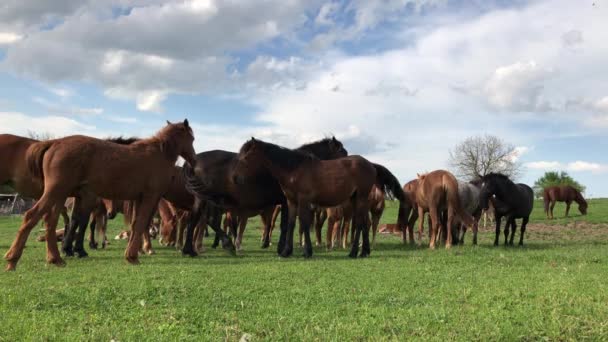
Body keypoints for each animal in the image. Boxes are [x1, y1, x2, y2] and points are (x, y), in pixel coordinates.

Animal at [4, 119, 195, 270]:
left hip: (59, 194)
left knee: (50, 222)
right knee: (31, 216)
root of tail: (54, 143)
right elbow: (141, 224)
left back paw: (56, 259)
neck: (157, 154)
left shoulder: (138, 199)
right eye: (192, 138)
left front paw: (131, 254)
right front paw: (133, 256)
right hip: (55, 192)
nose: (193, 159)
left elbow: (135, 225)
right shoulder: (149, 197)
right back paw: (12, 260)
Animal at [182, 136, 346, 256]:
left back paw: (191, 250)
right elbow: (285, 224)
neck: (293, 166)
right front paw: (283, 249)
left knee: (200, 219)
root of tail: (193, 161)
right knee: (203, 219)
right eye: (343, 153)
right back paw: (224, 245)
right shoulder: (286, 201)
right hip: (206, 199)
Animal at [233, 138, 408, 258]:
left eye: (246, 157)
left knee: (359, 223)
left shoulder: (304, 201)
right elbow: (291, 224)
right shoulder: (291, 202)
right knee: (364, 223)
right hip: (357, 200)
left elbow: (304, 224)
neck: (293, 169)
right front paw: (286, 251)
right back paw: (364, 252)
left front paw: (307, 252)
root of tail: (371, 164)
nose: (235, 178)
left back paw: (353, 252)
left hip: (361, 198)